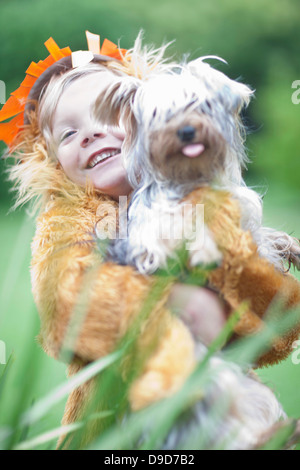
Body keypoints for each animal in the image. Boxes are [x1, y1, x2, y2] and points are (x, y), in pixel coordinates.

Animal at [94, 57, 300, 450]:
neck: (192, 177)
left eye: (200, 105)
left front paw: (291, 248)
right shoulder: (149, 240)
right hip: (201, 378)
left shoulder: (245, 221)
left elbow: (265, 240)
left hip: (250, 390)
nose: (187, 131)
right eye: (160, 114)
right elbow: (180, 227)